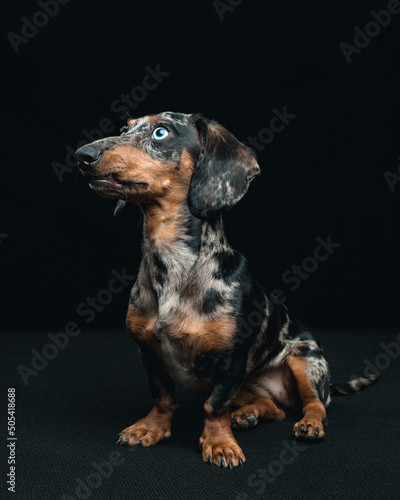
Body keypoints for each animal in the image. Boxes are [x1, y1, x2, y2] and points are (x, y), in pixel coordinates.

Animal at [76, 110, 378, 468]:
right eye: (125, 128)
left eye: (161, 132)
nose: (82, 155)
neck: (172, 265)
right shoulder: (148, 353)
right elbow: (163, 398)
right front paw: (151, 428)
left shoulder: (231, 360)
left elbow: (214, 405)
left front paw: (219, 443)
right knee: (274, 409)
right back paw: (250, 414)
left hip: (305, 358)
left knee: (314, 404)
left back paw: (310, 424)